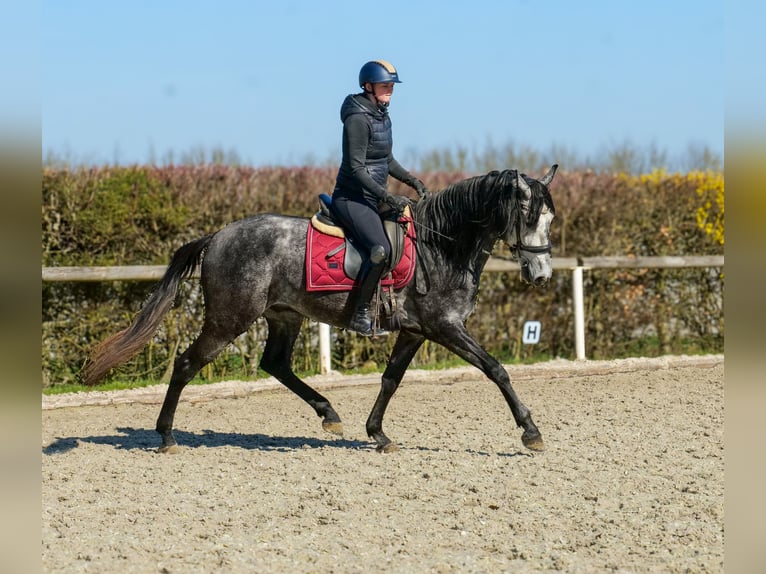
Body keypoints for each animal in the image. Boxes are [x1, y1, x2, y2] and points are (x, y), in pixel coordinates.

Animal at [84, 165, 558, 454]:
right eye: (527, 216)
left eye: (550, 220)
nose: (541, 275)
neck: (440, 246)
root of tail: (217, 235)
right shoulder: (445, 327)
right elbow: (496, 369)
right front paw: (530, 431)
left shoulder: (415, 331)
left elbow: (391, 381)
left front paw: (378, 433)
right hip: (229, 319)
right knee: (186, 364)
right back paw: (165, 436)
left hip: (284, 315)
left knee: (275, 363)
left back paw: (329, 414)